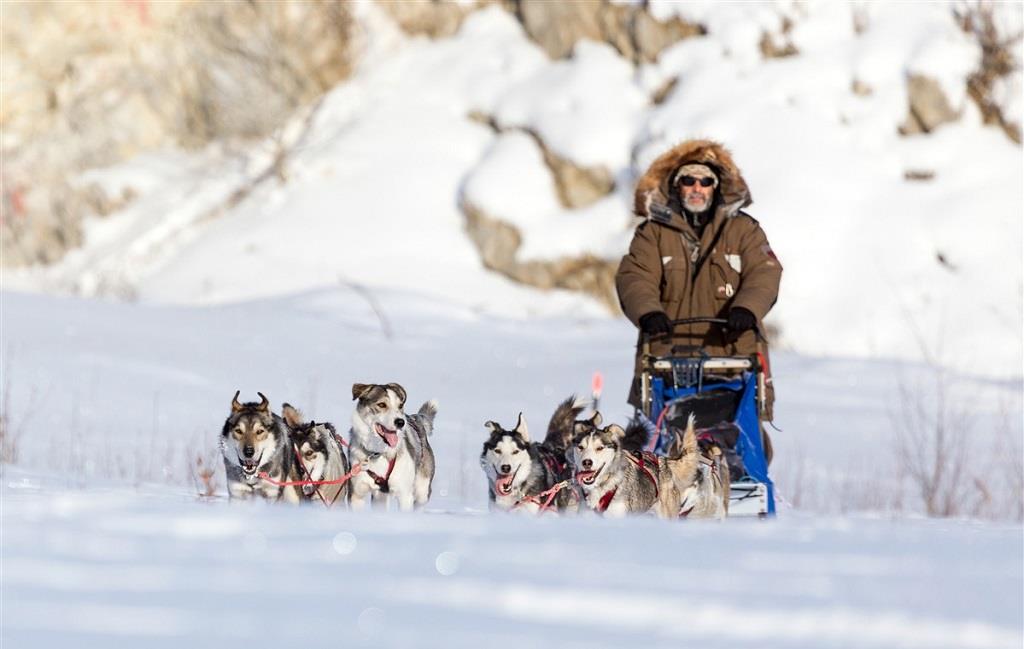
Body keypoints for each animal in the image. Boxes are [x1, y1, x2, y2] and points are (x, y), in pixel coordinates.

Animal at [348, 378, 436, 509]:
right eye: (382, 405)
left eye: (400, 405)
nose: (400, 422)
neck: (378, 453)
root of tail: (416, 419)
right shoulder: (357, 494)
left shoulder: (405, 495)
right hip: (380, 497)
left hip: (422, 491)